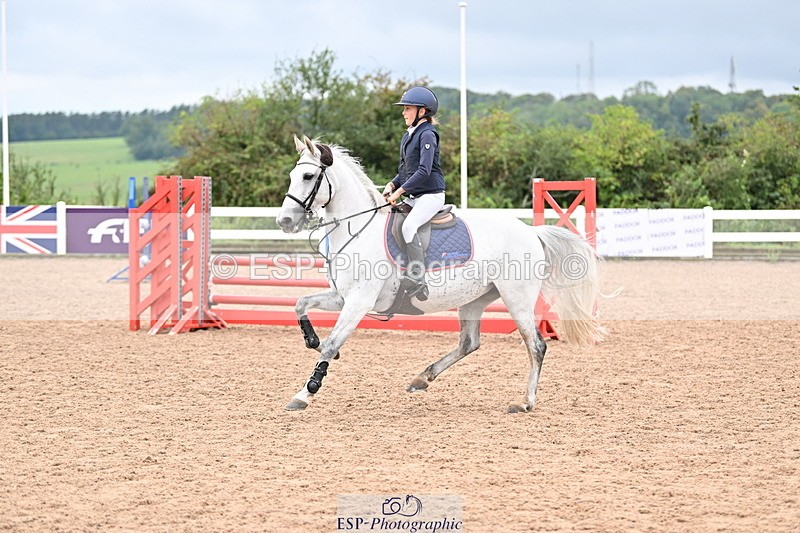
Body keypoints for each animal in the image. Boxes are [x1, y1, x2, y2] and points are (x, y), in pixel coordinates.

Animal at [276, 135, 605, 413]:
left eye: (308, 177)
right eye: (292, 176)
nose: (284, 221)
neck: (358, 229)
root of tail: (532, 232)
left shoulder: (359, 301)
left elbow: (334, 342)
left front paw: (305, 392)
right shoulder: (341, 296)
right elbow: (301, 305)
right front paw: (314, 342)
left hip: (517, 299)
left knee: (535, 345)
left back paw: (525, 402)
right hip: (475, 299)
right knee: (469, 343)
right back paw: (421, 378)